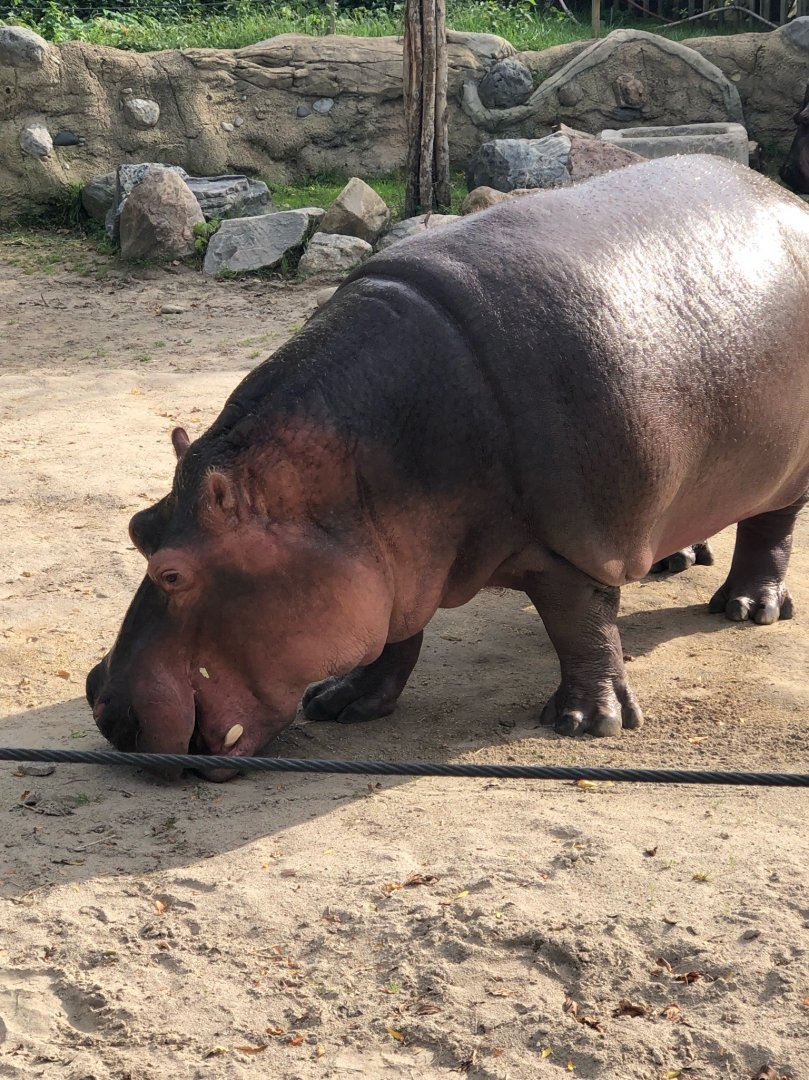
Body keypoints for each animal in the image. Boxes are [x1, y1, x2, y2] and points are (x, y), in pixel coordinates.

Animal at [86, 155, 809, 778]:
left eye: (172, 573)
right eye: (139, 527)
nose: (105, 707)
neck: (340, 483)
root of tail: (787, 197)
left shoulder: (573, 543)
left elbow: (580, 625)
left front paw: (583, 724)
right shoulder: (396, 564)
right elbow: (395, 636)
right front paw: (341, 702)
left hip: (787, 470)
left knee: (770, 529)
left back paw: (746, 610)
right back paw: (671, 562)